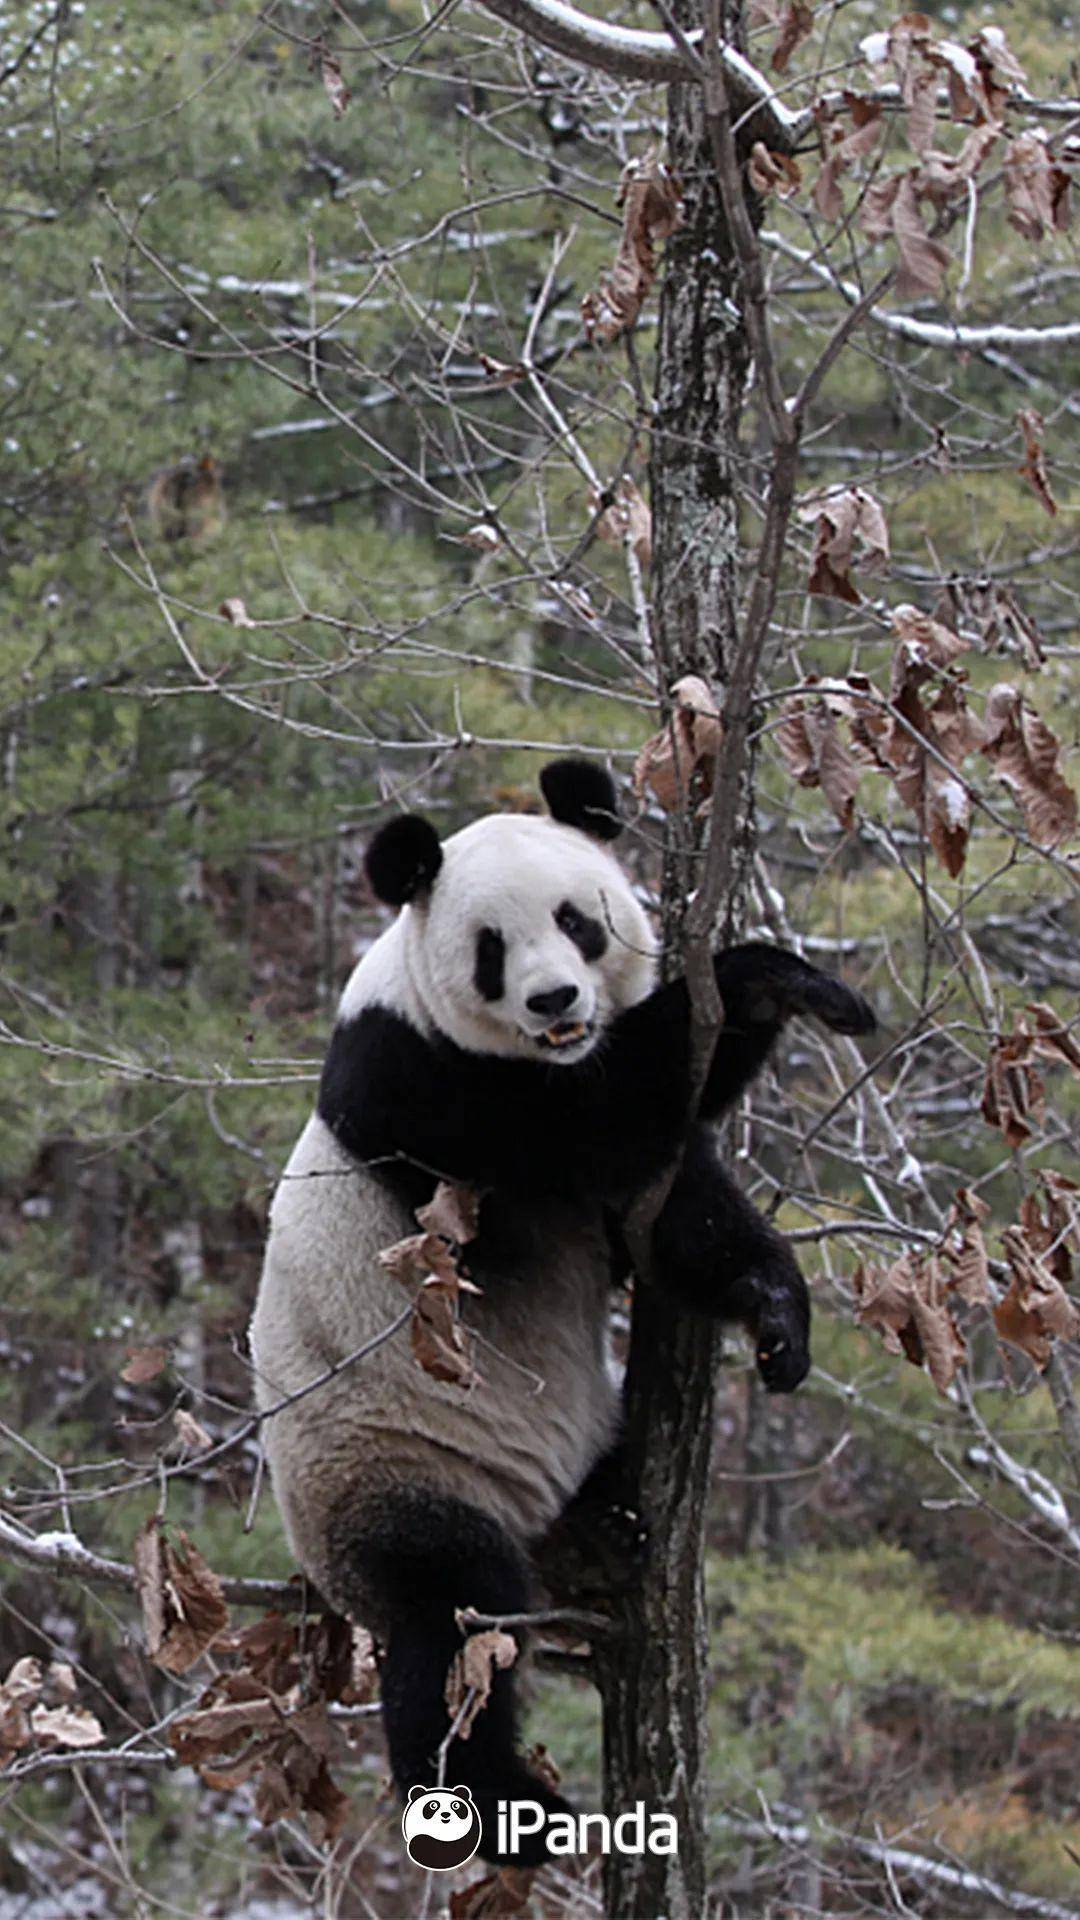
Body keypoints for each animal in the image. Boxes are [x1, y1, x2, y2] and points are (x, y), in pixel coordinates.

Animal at [247, 760, 868, 1858]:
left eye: (577, 920)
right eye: (491, 950)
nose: (556, 999)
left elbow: (675, 1218)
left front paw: (776, 1321)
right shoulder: (424, 1090)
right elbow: (599, 1123)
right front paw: (756, 979)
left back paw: (611, 1523)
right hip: (382, 1467)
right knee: (452, 1620)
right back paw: (504, 1807)